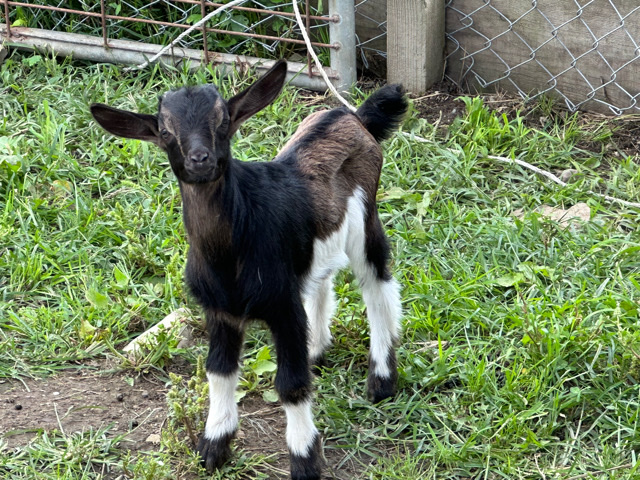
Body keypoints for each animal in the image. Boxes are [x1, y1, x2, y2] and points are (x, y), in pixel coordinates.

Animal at [90, 60, 408, 480]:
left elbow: (290, 384)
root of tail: (352, 116)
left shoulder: (282, 307)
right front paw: (213, 447)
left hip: (364, 215)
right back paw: (316, 349)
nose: (200, 159)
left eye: (224, 121)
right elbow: (219, 371)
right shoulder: (219, 311)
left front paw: (304, 460)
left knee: (377, 283)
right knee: (321, 277)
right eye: (165, 131)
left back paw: (382, 380)